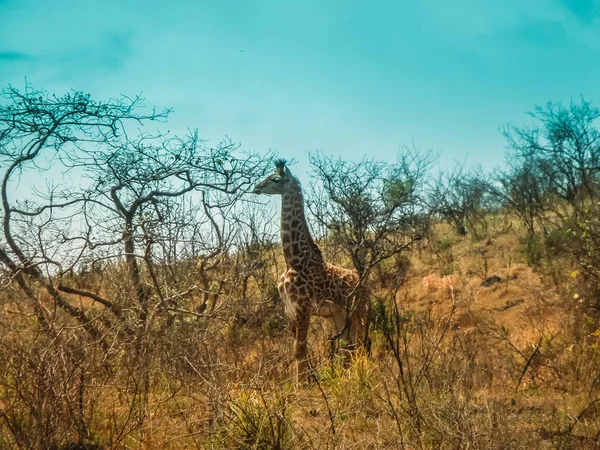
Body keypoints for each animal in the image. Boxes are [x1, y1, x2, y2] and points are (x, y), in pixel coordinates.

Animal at [251, 160, 368, 382]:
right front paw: (303, 381)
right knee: (348, 342)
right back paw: (348, 374)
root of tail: (364, 282)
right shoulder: (290, 311)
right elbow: (298, 350)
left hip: (358, 310)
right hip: (338, 315)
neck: (293, 260)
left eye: (276, 179)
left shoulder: (303, 308)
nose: (256, 188)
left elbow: (299, 350)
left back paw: (362, 373)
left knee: (361, 339)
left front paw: (301, 384)